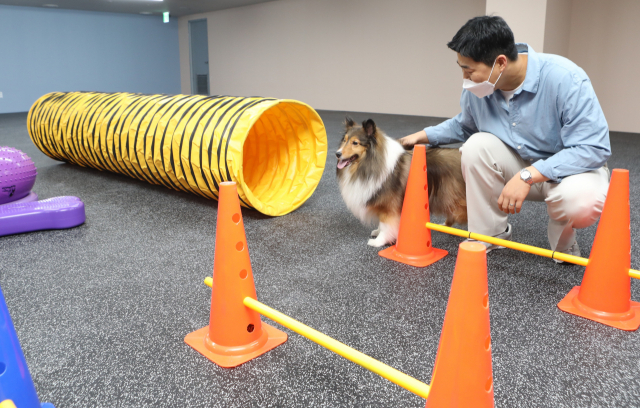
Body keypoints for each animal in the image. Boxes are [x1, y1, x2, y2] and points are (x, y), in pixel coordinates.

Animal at [336, 116, 464, 247]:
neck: (370, 163)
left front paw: (379, 241)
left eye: (355, 143)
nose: (337, 154)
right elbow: (382, 224)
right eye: (344, 140)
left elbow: (386, 225)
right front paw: (377, 232)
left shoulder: (389, 205)